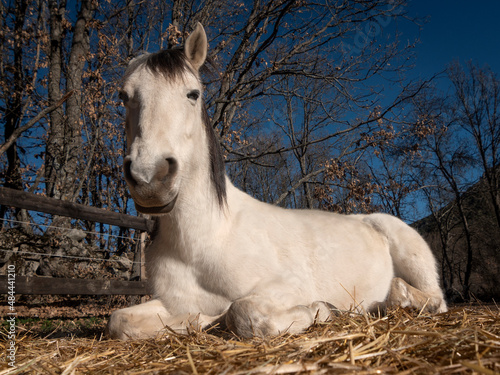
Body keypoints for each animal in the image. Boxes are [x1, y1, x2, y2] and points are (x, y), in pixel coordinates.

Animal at [105, 22, 446, 340]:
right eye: (123, 96)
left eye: (193, 94)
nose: (150, 177)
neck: (203, 241)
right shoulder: (170, 302)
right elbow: (118, 321)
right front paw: (200, 321)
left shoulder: (286, 287)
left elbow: (242, 311)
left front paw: (320, 309)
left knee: (430, 298)